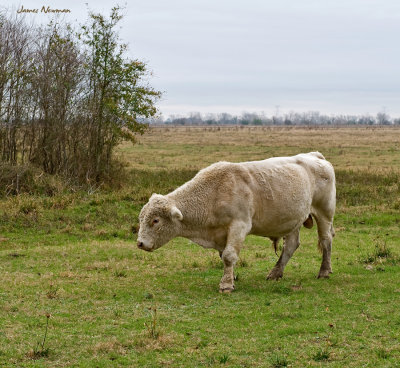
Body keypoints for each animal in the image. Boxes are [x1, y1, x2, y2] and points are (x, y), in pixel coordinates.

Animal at [137, 152, 334, 294]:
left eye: (155, 220)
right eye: (141, 218)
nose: (140, 243)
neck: (213, 193)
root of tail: (315, 156)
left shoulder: (239, 226)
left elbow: (229, 255)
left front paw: (226, 285)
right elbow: (224, 256)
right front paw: (232, 278)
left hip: (324, 213)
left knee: (326, 240)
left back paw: (324, 271)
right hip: (292, 219)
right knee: (291, 245)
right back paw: (275, 272)